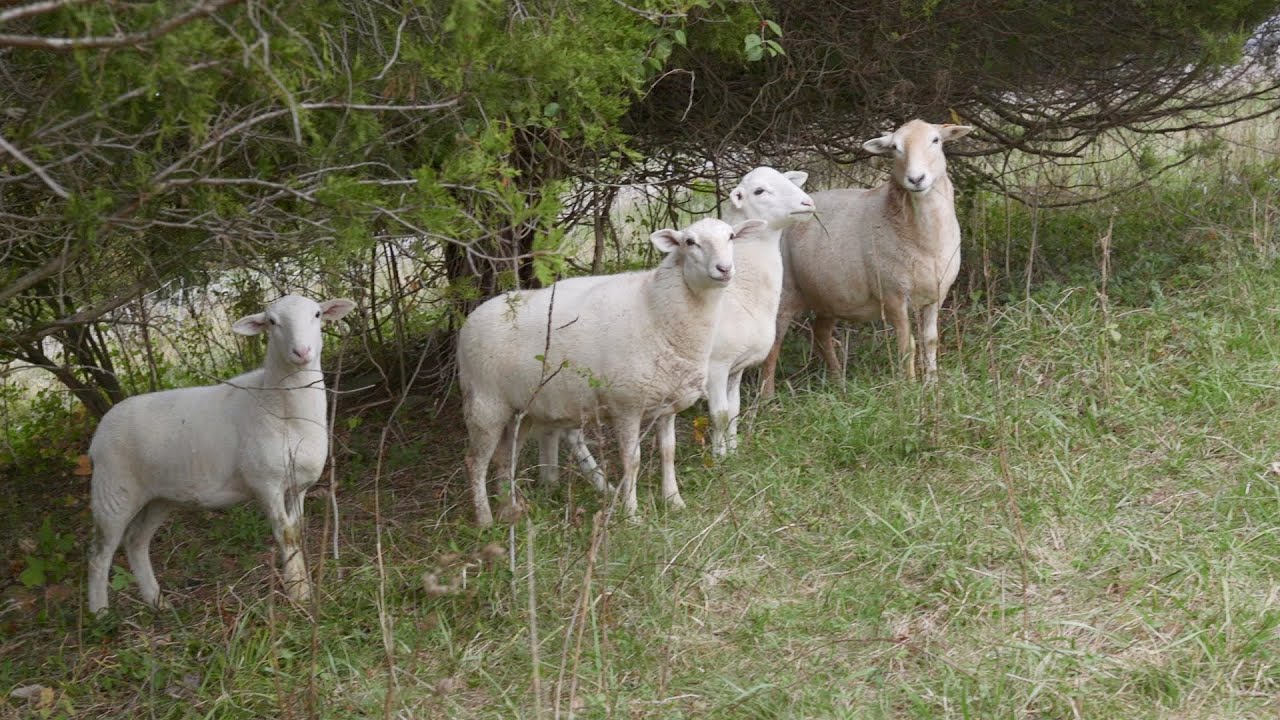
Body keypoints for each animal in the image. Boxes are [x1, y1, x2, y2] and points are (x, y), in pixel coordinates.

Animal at [86, 294, 356, 614]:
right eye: (272, 322)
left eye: (317, 314)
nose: (301, 352)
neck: (280, 406)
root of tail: (100, 429)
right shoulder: (266, 484)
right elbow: (286, 535)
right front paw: (297, 595)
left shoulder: (298, 486)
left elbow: (297, 531)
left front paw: (303, 587)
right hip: (113, 491)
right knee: (100, 554)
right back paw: (100, 614)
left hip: (159, 497)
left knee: (135, 542)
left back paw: (157, 601)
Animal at [457, 217, 766, 526]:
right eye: (690, 242)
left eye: (731, 236)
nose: (724, 269)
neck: (654, 309)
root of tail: (469, 321)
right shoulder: (626, 405)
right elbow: (632, 460)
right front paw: (631, 514)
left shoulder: (666, 404)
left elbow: (668, 452)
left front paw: (674, 501)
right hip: (485, 404)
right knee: (476, 462)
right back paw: (486, 520)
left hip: (522, 410)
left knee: (504, 458)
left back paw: (509, 511)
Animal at [761, 119, 972, 395]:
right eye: (894, 148)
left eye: (936, 140)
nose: (916, 179)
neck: (926, 241)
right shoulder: (893, 295)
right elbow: (907, 345)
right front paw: (910, 389)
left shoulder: (937, 294)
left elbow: (930, 340)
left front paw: (932, 385)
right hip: (785, 292)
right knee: (774, 344)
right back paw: (767, 396)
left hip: (829, 294)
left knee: (821, 334)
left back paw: (839, 382)